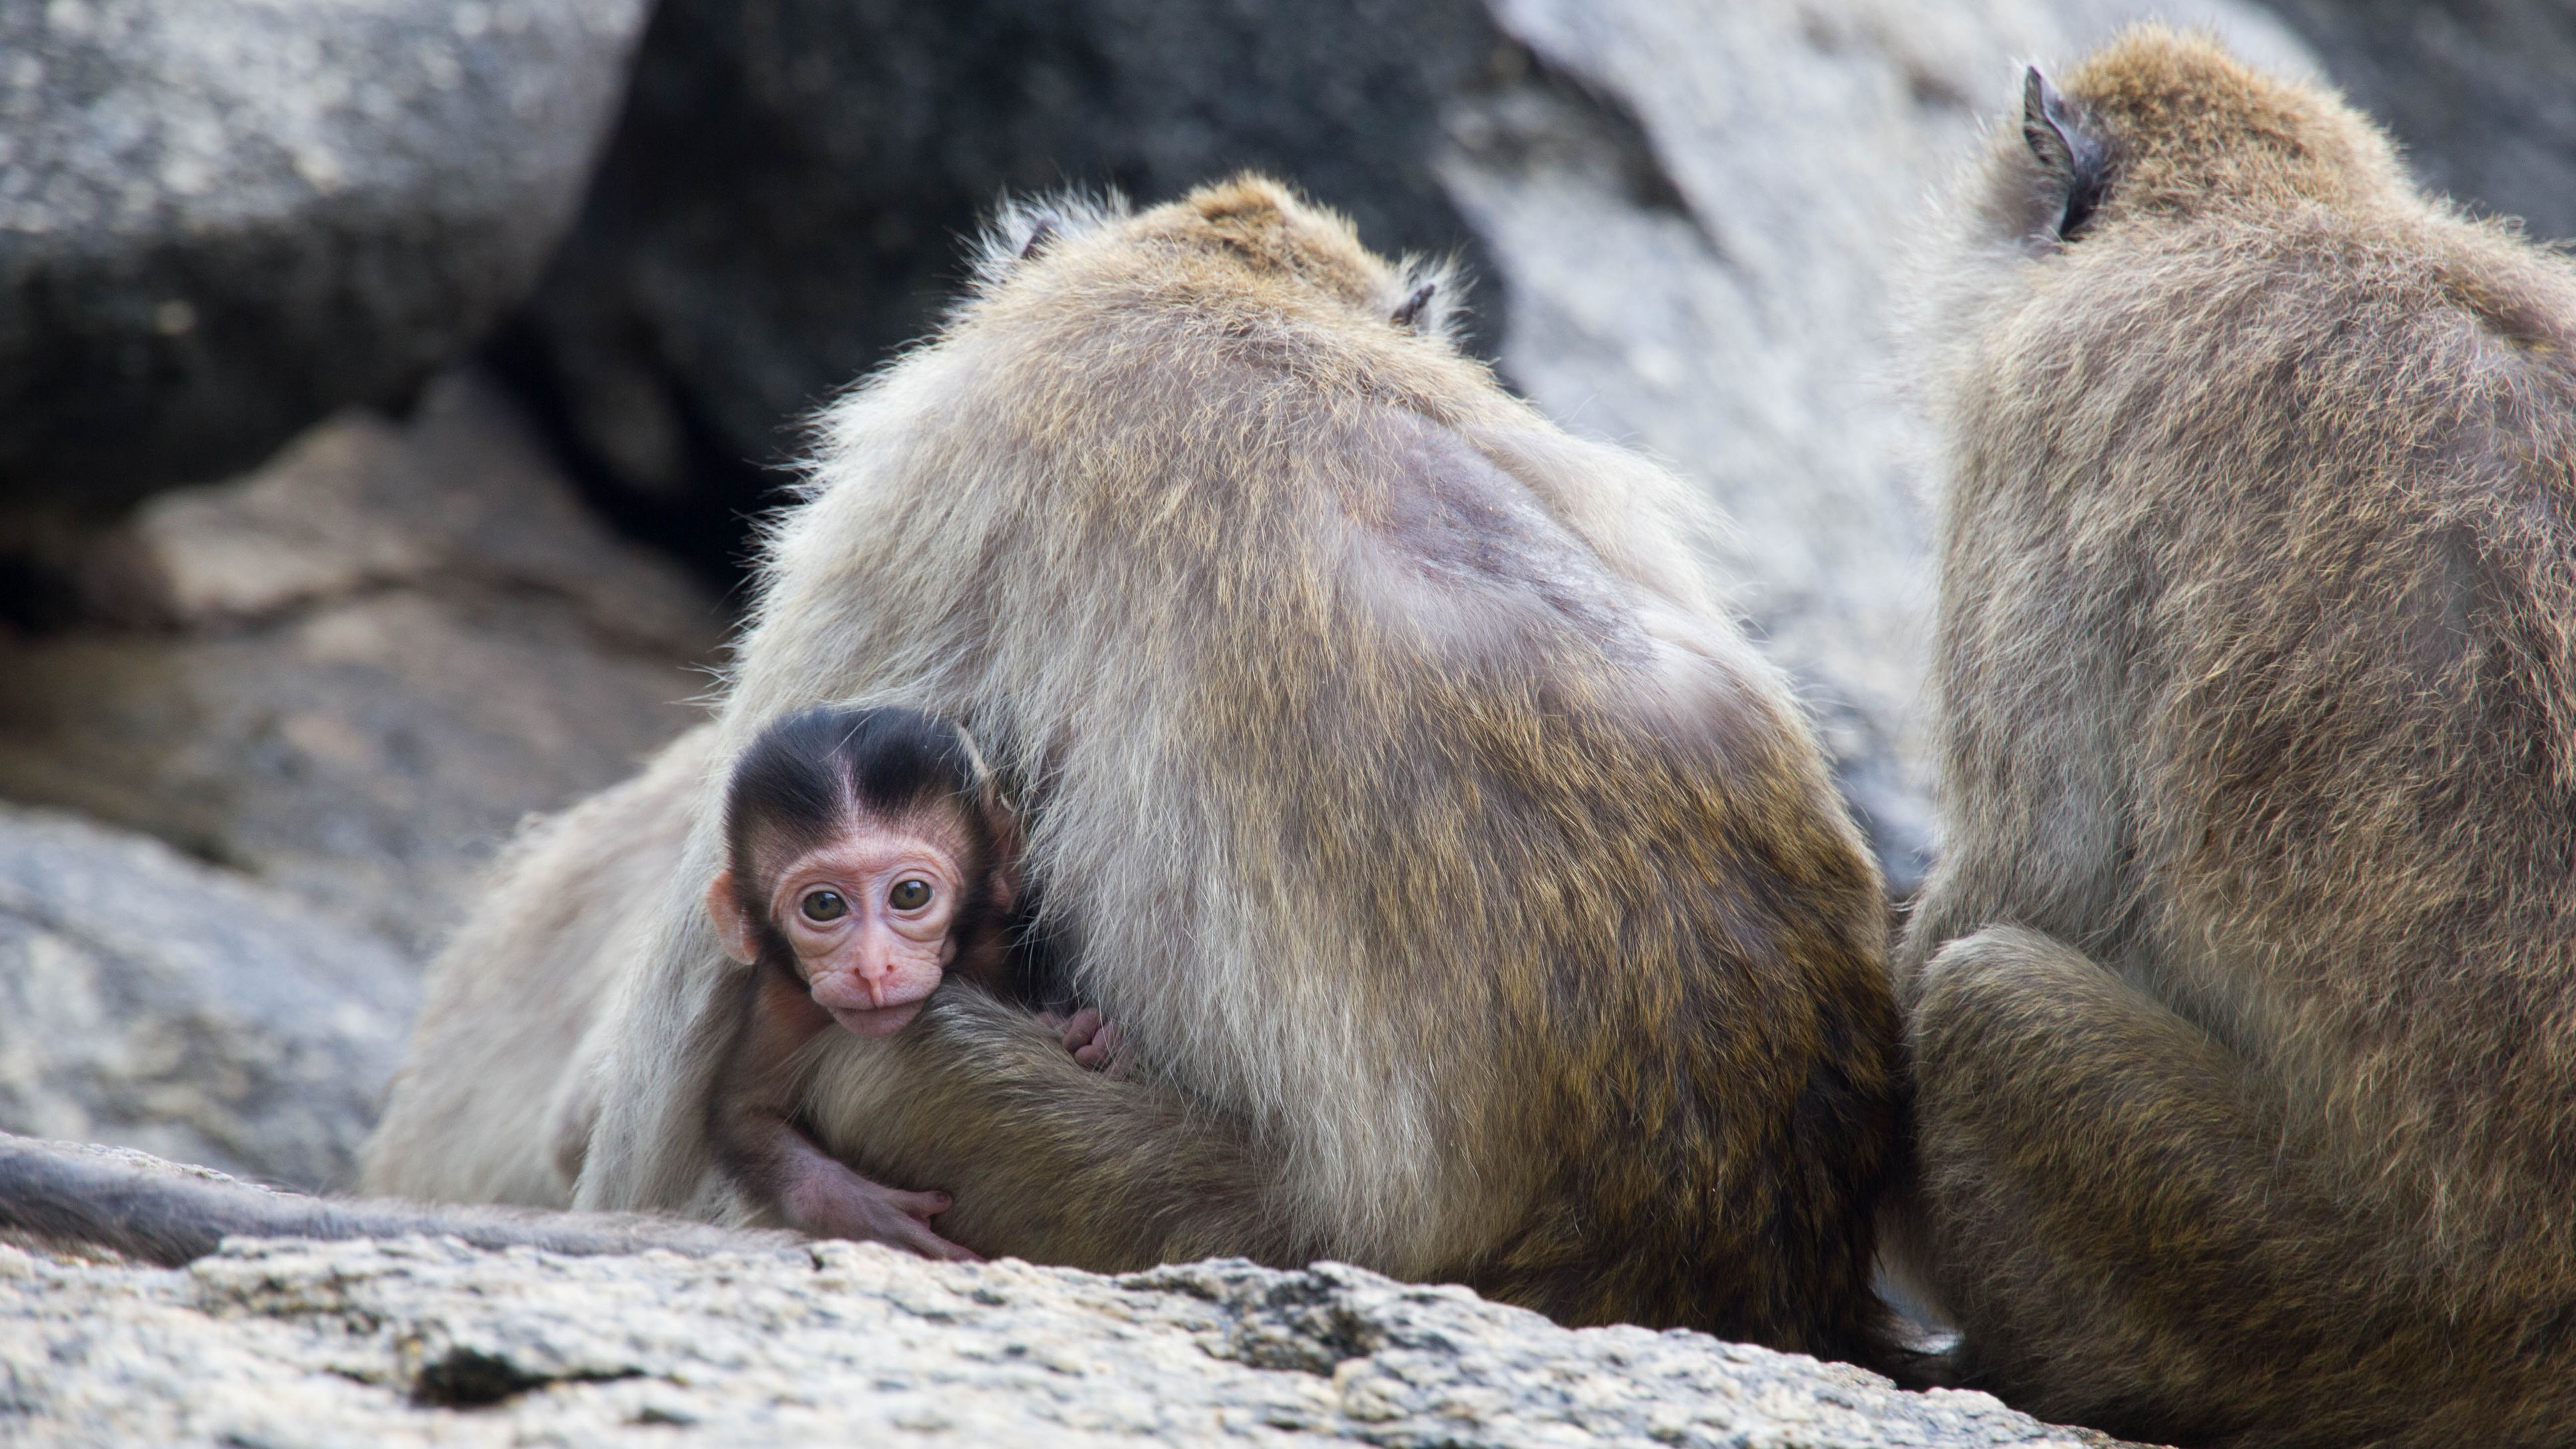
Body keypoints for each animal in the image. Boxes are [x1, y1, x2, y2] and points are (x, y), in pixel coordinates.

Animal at [706, 706, 1118, 1258]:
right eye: (823, 905)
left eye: (910, 894)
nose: (872, 967)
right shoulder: (782, 1002)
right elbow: (745, 1113)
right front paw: (855, 1207)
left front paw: (1090, 1038)